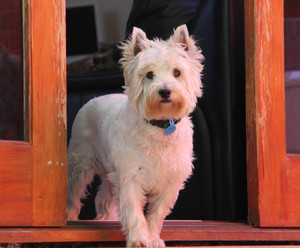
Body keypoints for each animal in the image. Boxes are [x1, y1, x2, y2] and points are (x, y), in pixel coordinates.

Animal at [67, 24, 204, 247]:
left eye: (177, 72)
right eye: (149, 74)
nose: (165, 91)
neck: (160, 127)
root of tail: (93, 99)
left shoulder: (170, 181)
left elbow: (156, 214)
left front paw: (153, 238)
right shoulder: (131, 175)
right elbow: (134, 211)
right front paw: (139, 239)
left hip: (110, 173)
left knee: (104, 198)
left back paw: (106, 219)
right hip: (80, 164)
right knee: (73, 192)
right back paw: (70, 218)